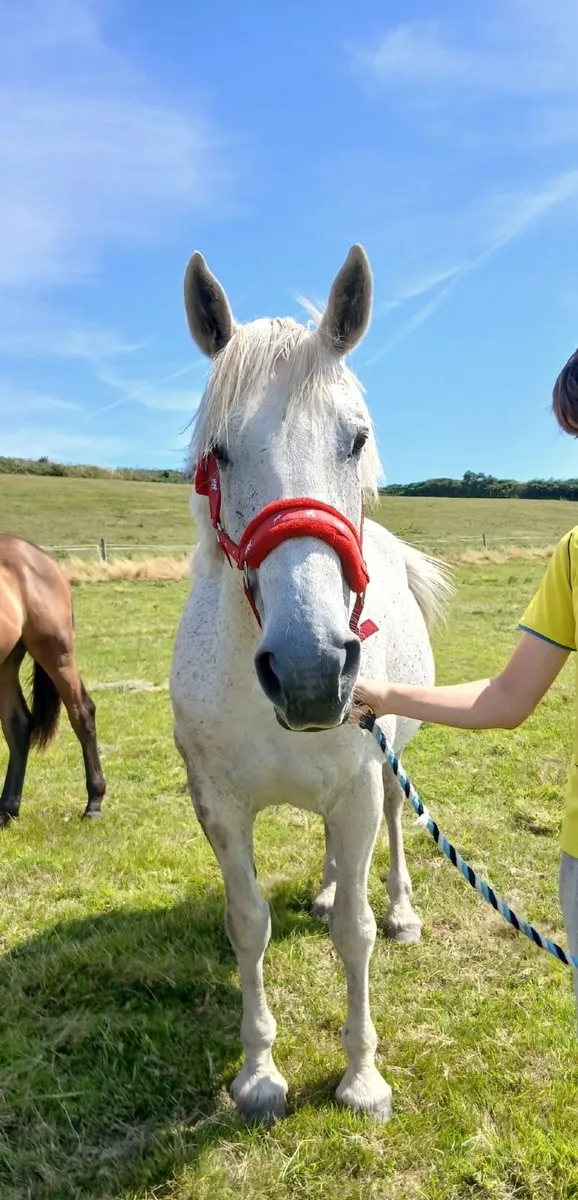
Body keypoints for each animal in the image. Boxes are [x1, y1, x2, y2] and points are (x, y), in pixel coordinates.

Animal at [0, 535, 106, 825]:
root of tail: (39, 554)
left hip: (57, 654)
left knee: (82, 714)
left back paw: (94, 803)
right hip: (6, 662)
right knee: (18, 726)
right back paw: (7, 809)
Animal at [170, 244, 451, 1125]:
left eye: (355, 439)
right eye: (219, 453)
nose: (310, 670)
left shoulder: (358, 791)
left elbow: (354, 936)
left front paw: (362, 1078)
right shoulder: (219, 807)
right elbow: (247, 924)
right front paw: (259, 1072)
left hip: (388, 774)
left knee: (391, 835)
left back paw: (400, 910)